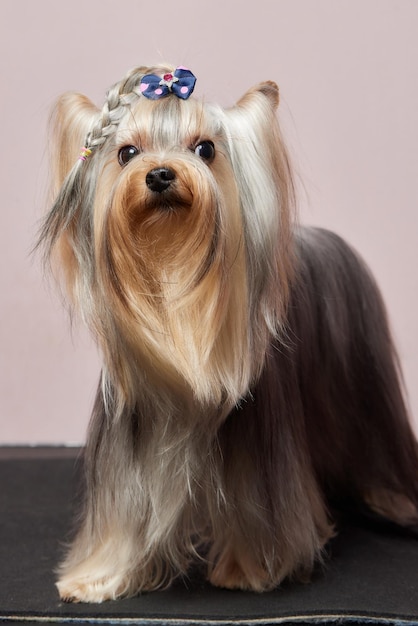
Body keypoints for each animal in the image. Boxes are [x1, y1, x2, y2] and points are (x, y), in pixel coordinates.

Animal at [37, 62, 418, 600]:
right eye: (126, 152)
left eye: (205, 149)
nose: (160, 174)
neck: (173, 273)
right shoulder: (127, 453)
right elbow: (123, 520)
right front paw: (97, 577)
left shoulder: (261, 454)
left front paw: (249, 570)